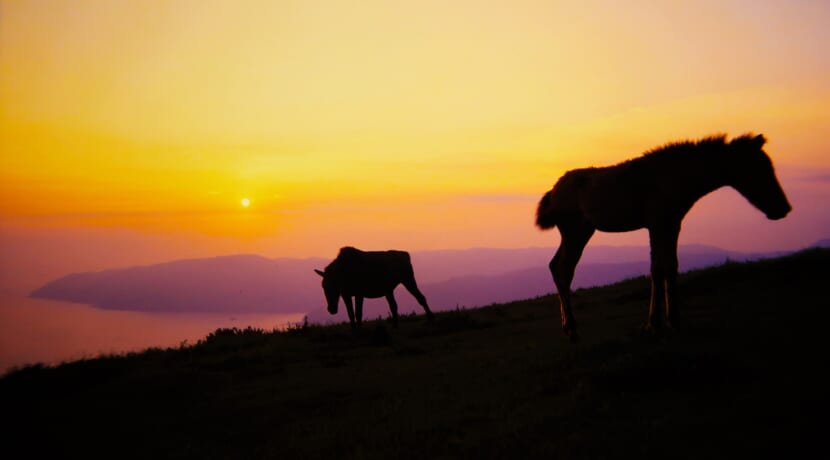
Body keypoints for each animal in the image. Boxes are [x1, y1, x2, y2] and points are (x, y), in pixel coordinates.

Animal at [540, 134, 792, 342]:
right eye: (757, 168)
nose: (783, 208)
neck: (675, 177)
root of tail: (553, 192)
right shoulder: (657, 224)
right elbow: (658, 269)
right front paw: (654, 324)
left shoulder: (672, 224)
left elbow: (670, 267)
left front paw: (673, 321)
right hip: (576, 232)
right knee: (564, 269)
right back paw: (572, 329)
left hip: (577, 233)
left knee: (556, 266)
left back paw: (568, 327)